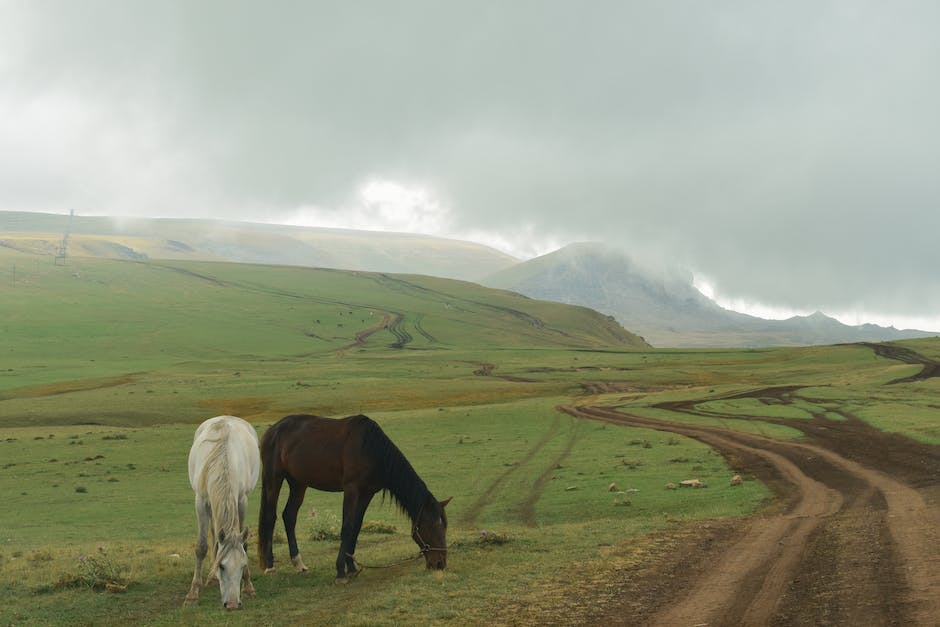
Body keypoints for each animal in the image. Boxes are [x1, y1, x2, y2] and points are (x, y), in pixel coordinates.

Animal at [184, 414, 260, 612]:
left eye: (242, 565)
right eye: (222, 566)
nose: (232, 604)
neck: (223, 460)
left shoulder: (241, 500)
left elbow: (244, 544)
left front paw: (248, 586)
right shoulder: (201, 502)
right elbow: (201, 546)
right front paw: (193, 593)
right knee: (213, 534)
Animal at [255, 414, 450, 580]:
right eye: (431, 527)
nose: (440, 564)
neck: (371, 449)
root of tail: (273, 431)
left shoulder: (366, 494)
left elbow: (356, 527)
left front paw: (352, 567)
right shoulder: (351, 489)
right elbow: (347, 527)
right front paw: (341, 571)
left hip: (298, 483)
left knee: (289, 516)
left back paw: (298, 563)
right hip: (274, 478)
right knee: (270, 517)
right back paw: (270, 566)